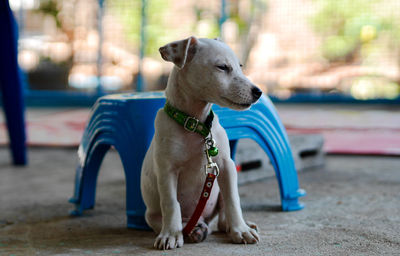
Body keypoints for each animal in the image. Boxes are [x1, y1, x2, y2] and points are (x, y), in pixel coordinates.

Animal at [141, 36, 262, 250]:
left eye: (240, 66)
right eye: (222, 67)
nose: (258, 92)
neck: (196, 125)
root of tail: (205, 221)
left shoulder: (226, 166)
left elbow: (233, 200)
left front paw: (241, 230)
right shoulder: (166, 170)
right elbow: (171, 204)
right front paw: (170, 235)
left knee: (222, 219)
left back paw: (234, 226)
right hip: (152, 216)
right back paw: (193, 230)